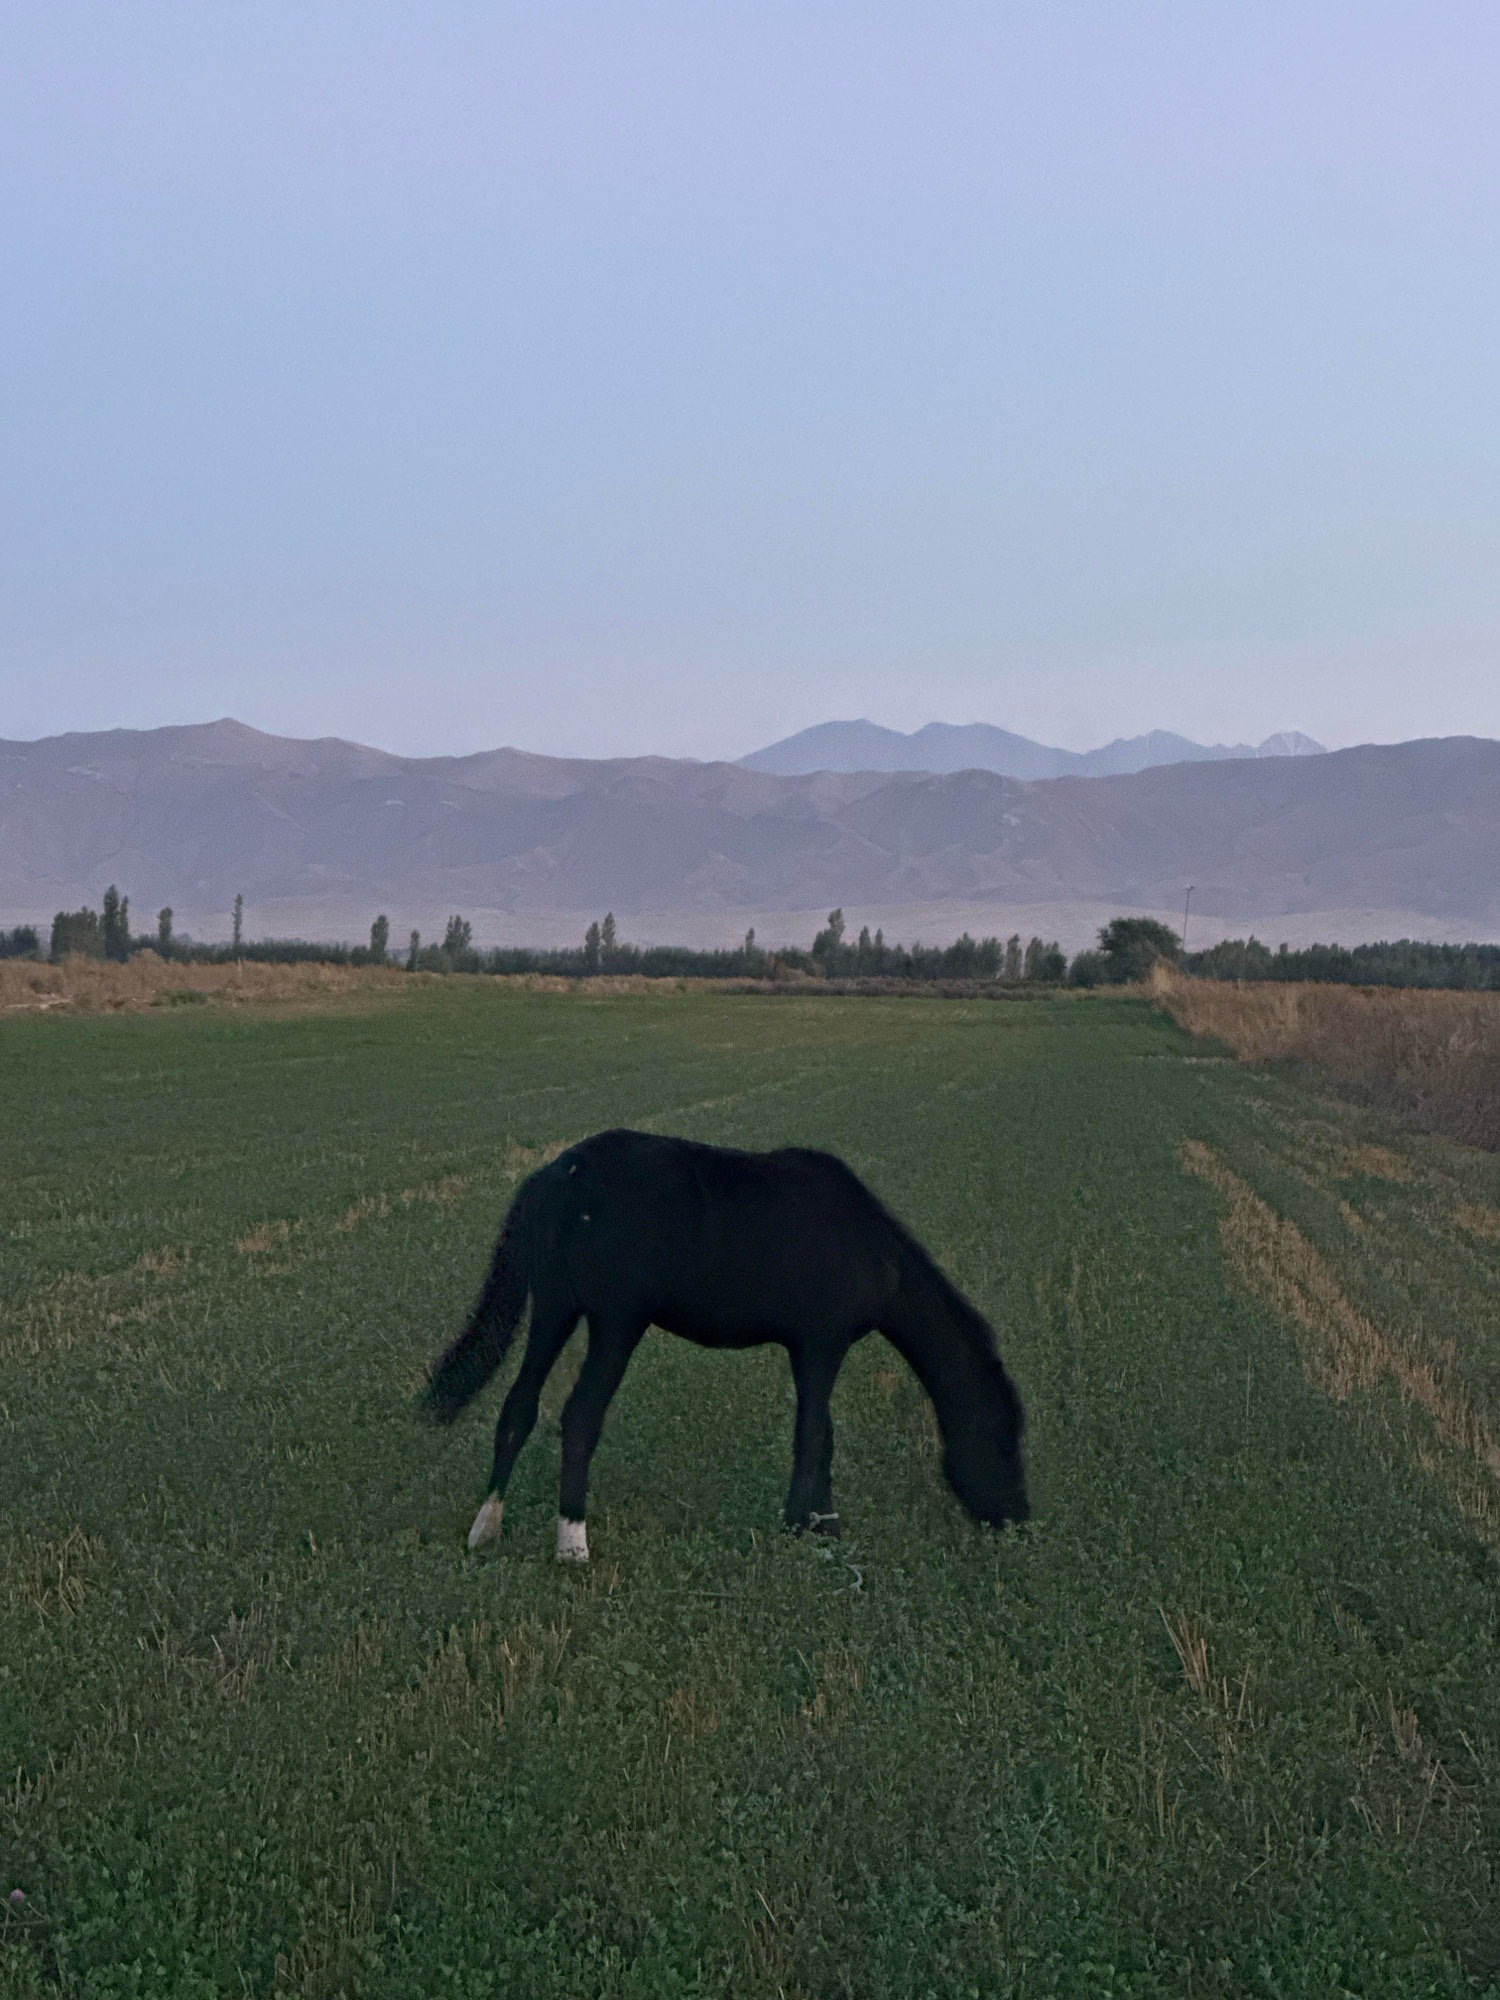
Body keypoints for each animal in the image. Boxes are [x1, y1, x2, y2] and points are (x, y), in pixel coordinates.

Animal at [420, 1128, 1029, 1561]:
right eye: (1006, 1439)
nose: (1020, 1521)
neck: (869, 1244)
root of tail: (563, 1172)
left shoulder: (807, 1350)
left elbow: (824, 1436)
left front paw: (825, 1526)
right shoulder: (822, 1345)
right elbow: (811, 1437)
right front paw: (797, 1527)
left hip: (554, 1312)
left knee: (518, 1408)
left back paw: (486, 1528)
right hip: (616, 1325)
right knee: (580, 1418)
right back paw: (573, 1544)